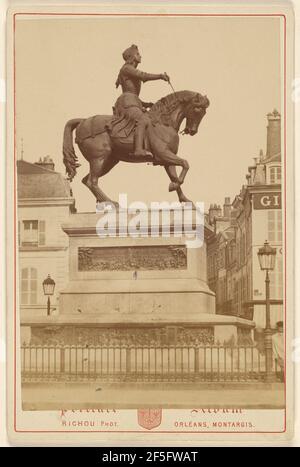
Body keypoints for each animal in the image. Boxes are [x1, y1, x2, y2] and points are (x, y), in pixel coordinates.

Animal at [62, 89, 210, 205]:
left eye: (204, 112)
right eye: (197, 109)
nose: (192, 131)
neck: (163, 122)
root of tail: (83, 121)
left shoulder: (166, 159)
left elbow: (175, 175)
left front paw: (183, 198)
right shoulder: (163, 153)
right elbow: (185, 163)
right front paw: (174, 186)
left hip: (109, 161)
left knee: (87, 180)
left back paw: (103, 201)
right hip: (99, 158)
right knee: (92, 181)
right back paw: (111, 203)